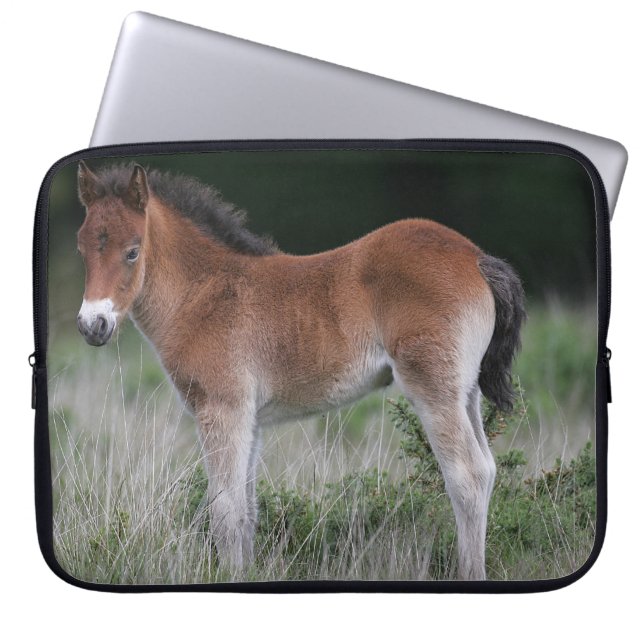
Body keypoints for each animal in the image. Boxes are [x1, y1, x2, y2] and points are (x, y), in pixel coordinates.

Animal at [75, 160, 525, 581]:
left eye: (133, 251)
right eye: (82, 250)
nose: (92, 325)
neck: (203, 293)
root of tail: (476, 257)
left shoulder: (223, 409)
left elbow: (224, 510)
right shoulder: (249, 420)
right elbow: (246, 511)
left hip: (433, 387)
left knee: (467, 476)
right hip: (465, 391)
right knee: (486, 469)